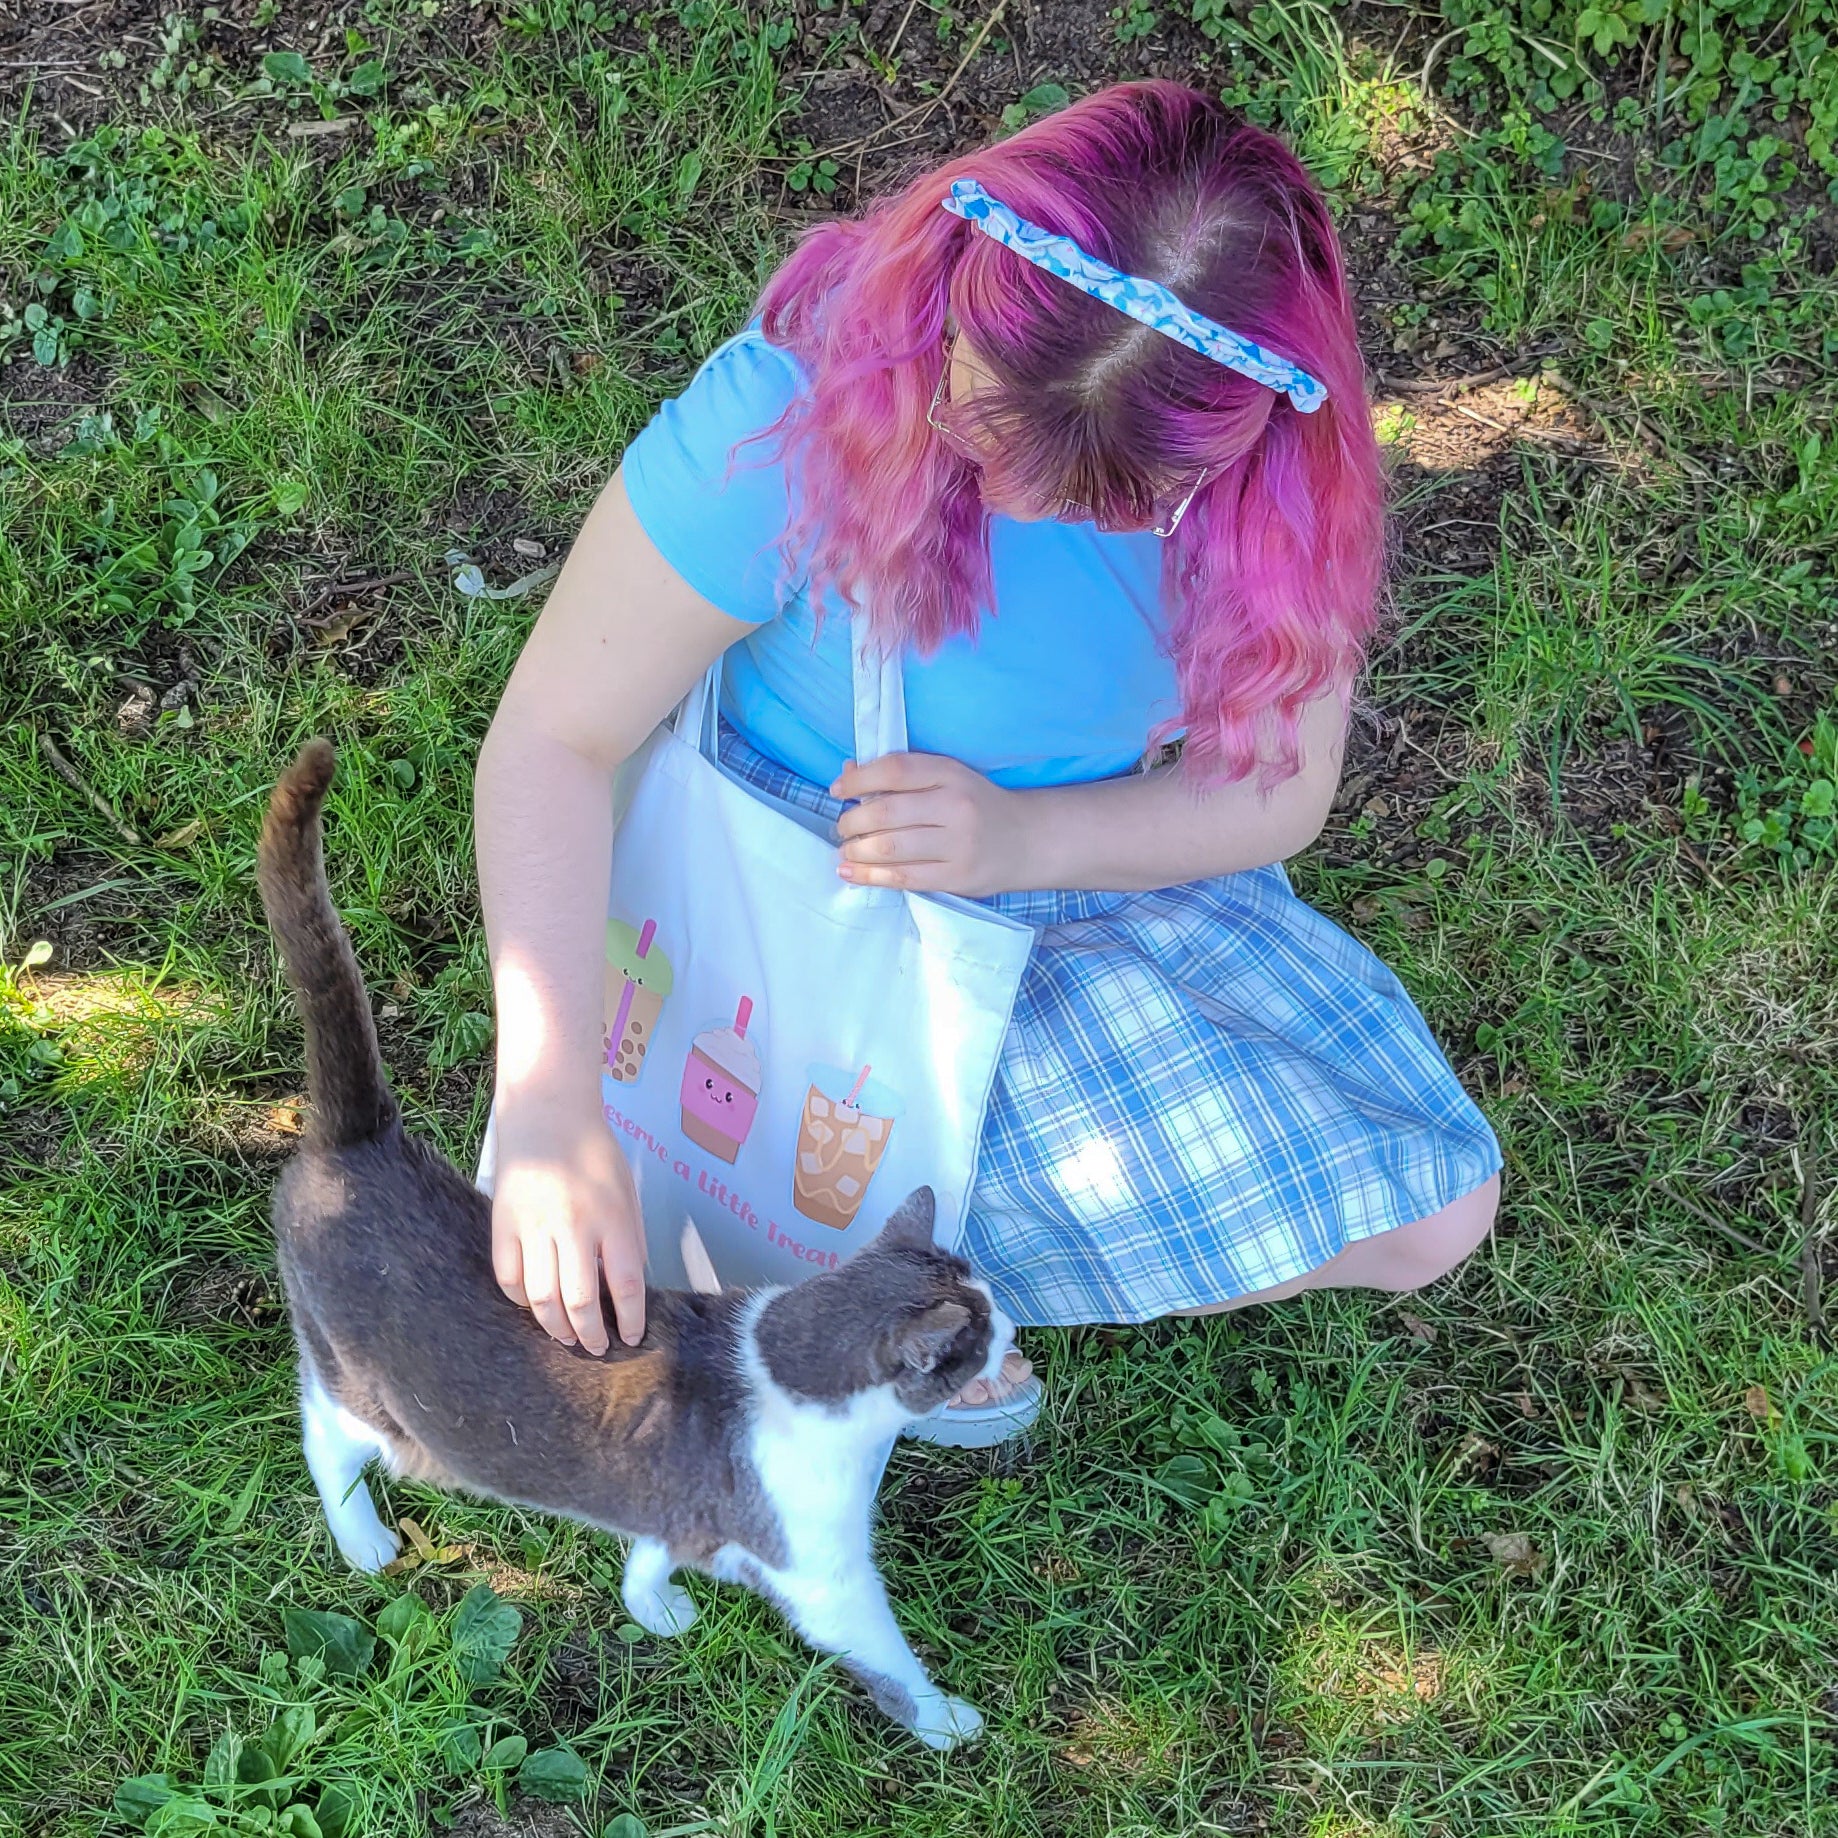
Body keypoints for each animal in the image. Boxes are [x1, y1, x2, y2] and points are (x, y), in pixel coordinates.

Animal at [253, 738, 1014, 1742]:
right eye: (977, 1338)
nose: (1018, 1334)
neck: (785, 1364)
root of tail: (359, 1141)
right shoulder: (824, 1575)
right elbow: (880, 1649)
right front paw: (945, 1718)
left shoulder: (677, 1503)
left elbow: (653, 1545)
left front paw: (652, 1603)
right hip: (365, 1391)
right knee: (326, 1434)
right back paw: (364, 1534)